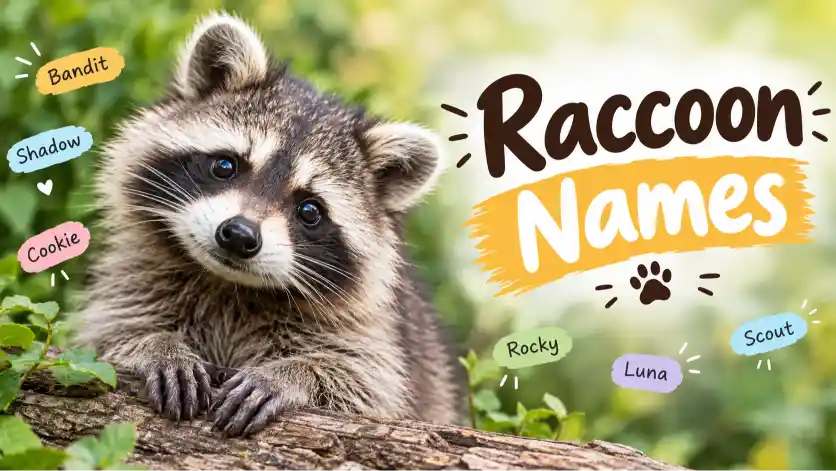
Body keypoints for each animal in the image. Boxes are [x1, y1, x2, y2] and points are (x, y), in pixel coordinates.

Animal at [73, 11, 463, 437]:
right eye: (225, 165)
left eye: (310, 211)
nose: (239, 235)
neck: (230, 285)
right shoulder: (136, 280)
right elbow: (104, 336)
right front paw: (156, 345)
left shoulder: (374, 338)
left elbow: (363, 384)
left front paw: (293, 375)